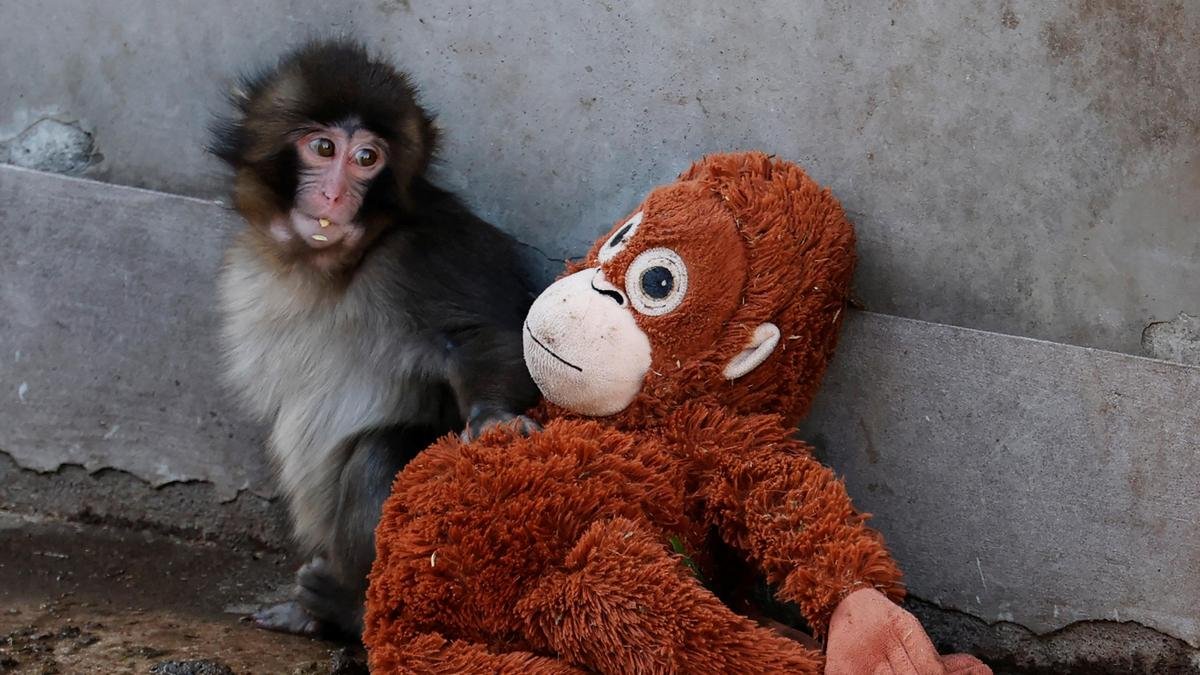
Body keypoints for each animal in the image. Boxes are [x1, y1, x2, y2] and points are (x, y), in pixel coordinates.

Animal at [208, 40, 541, 640]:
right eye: (323, 148)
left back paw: (348, 608)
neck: (331, 267)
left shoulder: (428, 252)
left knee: (379, 455)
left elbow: (483, 335)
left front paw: (494, 419)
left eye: (368, 158)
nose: (335, 193)